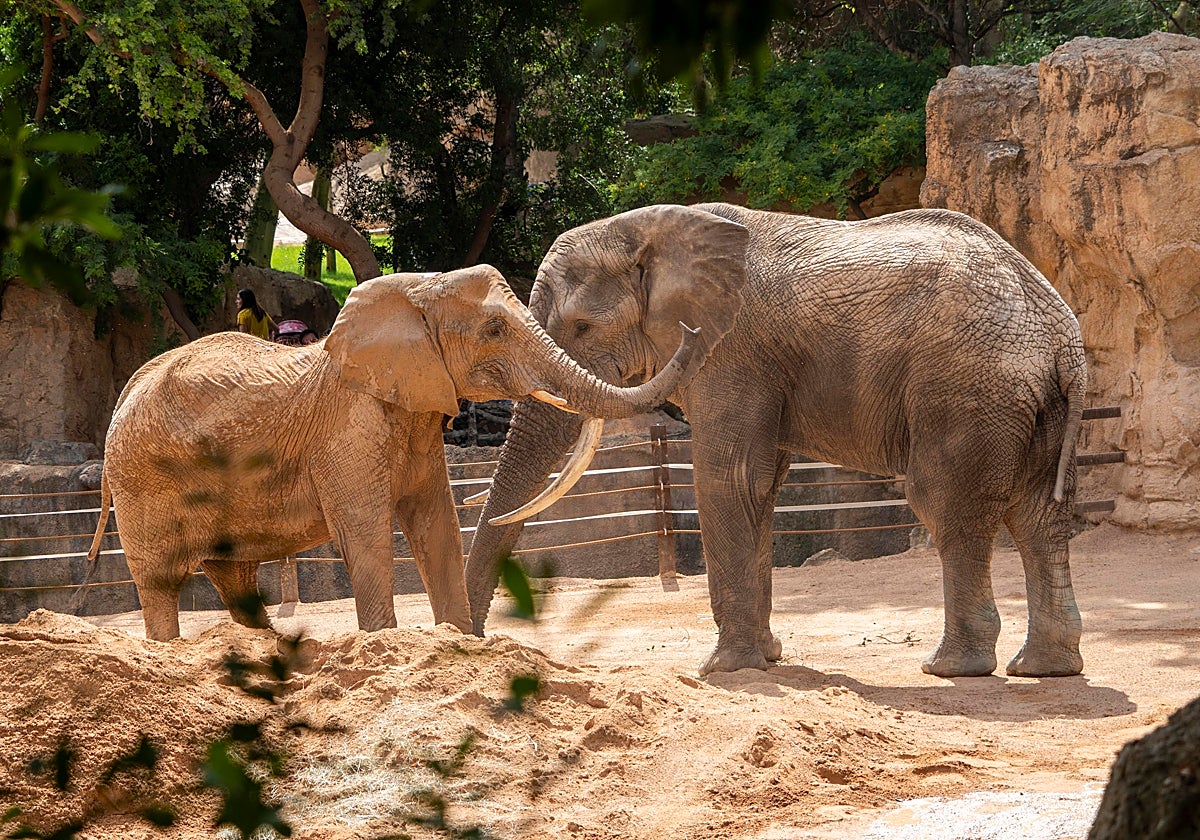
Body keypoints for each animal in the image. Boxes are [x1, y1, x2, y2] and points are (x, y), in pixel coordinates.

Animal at [83, 264, 699, 642]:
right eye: (494, 329)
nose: (691, 329)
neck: (416, 291)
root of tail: (124, 394)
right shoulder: (350, 426)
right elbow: (367, 529)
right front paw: (385, 640)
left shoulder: (417, 415)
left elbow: (437, 522)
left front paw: (457, 641)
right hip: (144, 480)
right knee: (162, 582)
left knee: (235, 579)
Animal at [464, 203, 1088, 679]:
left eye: (581, 329)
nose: (474, 638)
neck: (649, 228)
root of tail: (1062, 335)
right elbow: (759, 488)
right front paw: (765, 659)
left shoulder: (730, 352)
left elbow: (730, 480)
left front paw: (724, 670)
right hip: (1033, 405)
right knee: (1039, 514)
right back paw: (1043, 668)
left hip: (969, 389)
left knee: (947, 504)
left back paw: (952, 668)